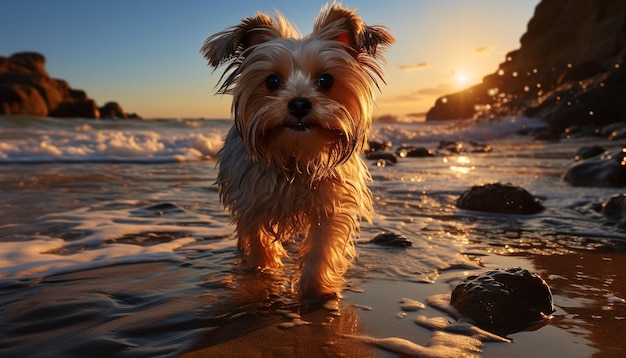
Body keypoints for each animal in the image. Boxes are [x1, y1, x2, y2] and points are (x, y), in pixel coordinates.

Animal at [202, 4, 392, 298]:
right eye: (272, 81)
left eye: (325, 80)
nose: (299, 104)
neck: (295, 155)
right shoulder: (251, 201)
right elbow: (257, 237)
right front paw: (264, 273)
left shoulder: (332, 204)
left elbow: (321, 246)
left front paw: (315, 289)